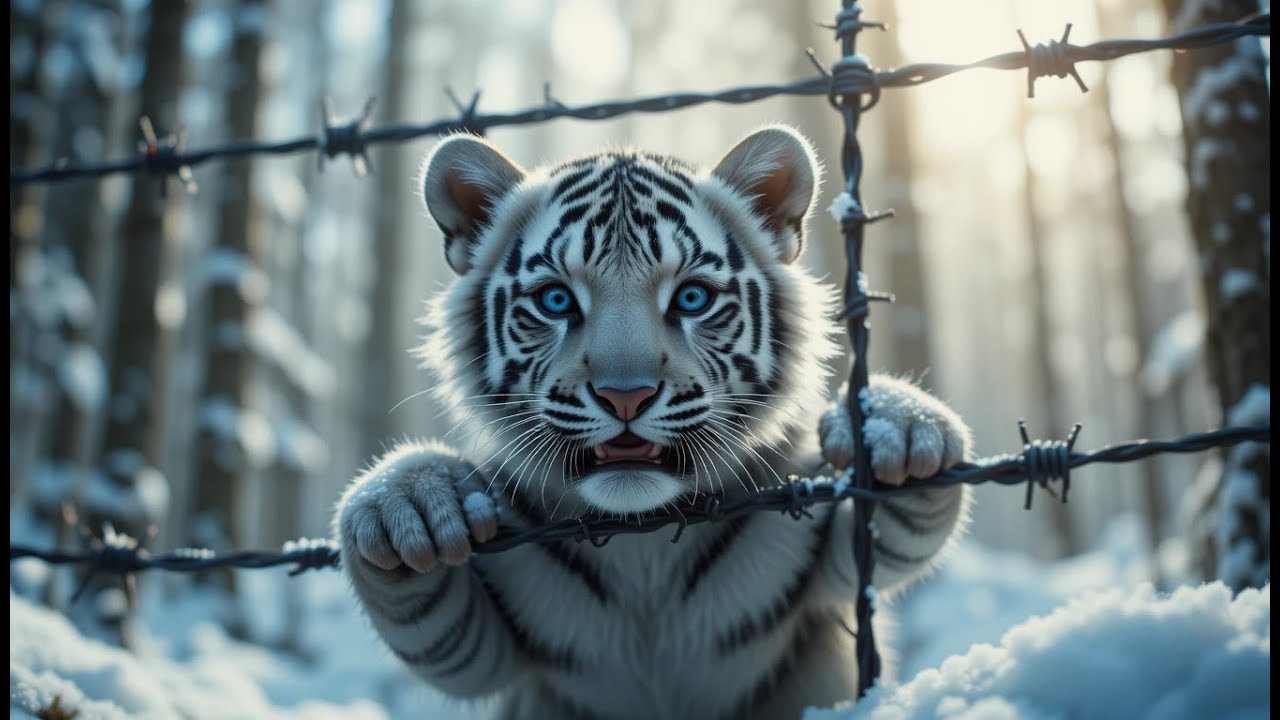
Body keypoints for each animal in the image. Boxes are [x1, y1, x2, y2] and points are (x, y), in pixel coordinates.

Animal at [334, 126, 972, 720]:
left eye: (691, 298)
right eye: (556, 301)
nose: (626, 396)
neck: (642, 551)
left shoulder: (816, 559)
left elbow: (894, 537)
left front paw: (900, 428)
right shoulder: (490, 632)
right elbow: (434, 627)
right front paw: (406, 504)